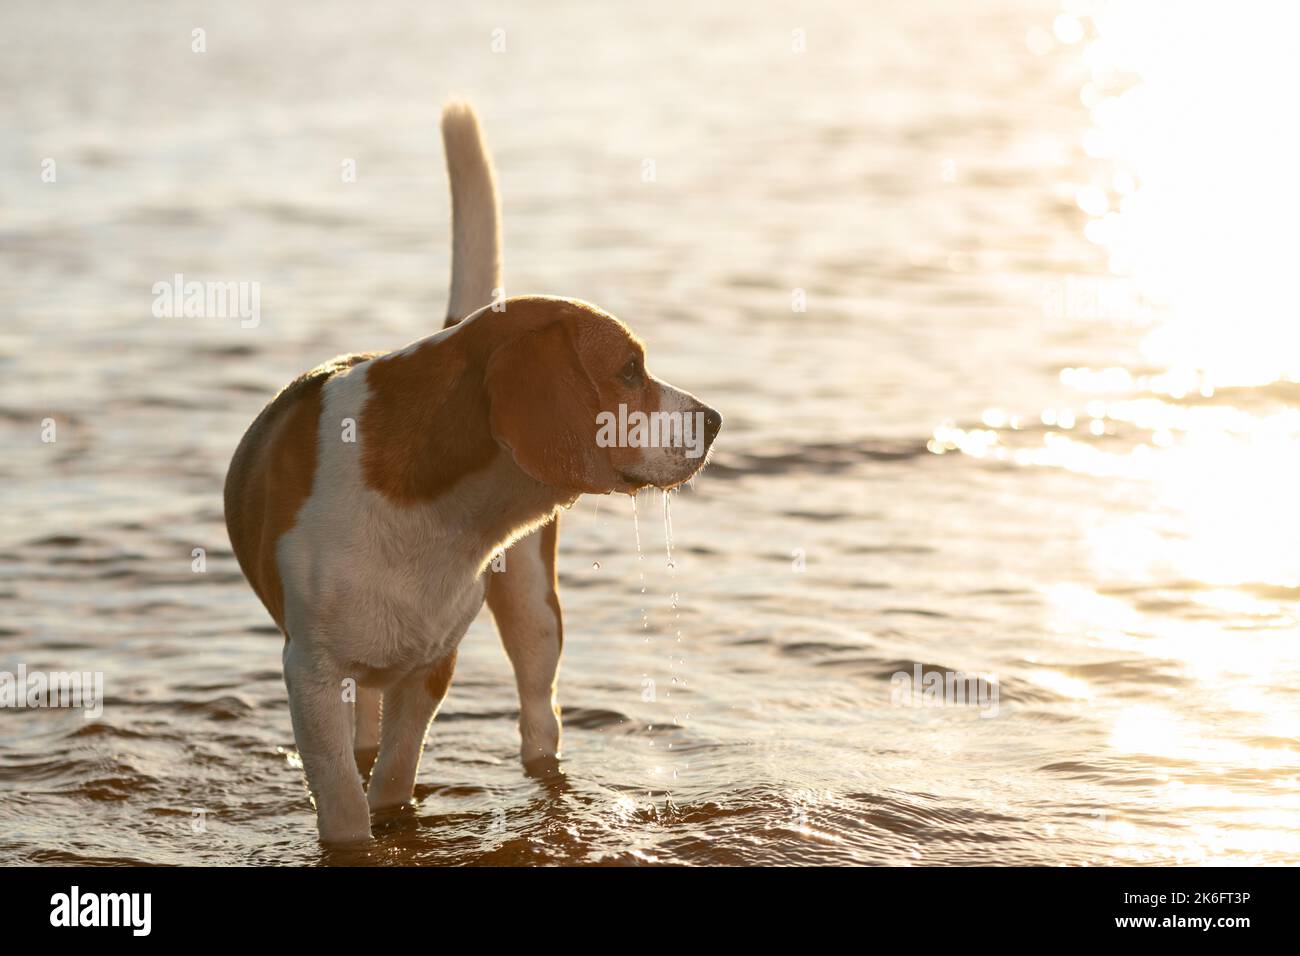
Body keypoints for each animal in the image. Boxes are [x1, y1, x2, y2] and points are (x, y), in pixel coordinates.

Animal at [228, 100, 728, 842]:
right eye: (630, 369)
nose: (715, 419)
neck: (436, 516)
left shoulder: (433, 665)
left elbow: (392, 781)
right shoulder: (310, 674)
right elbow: (345, 801)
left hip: (533, 611)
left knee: (539, 716)